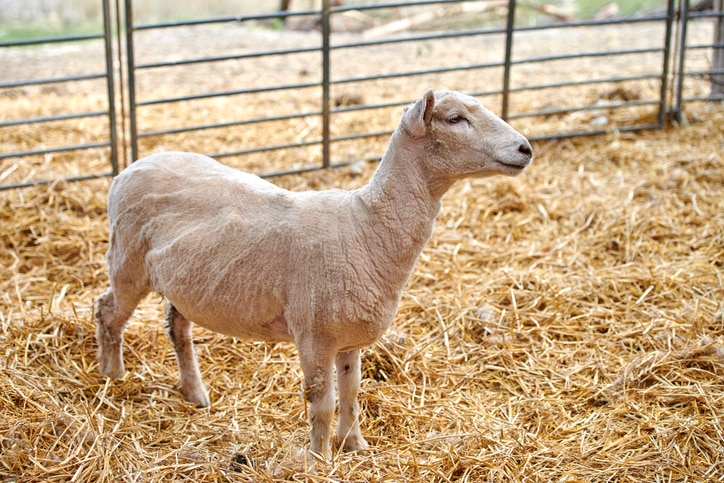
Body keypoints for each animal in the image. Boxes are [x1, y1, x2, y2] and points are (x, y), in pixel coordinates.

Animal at [94, 88, 533, 459]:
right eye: (456, 118)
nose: (525, 148)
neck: (365, 226)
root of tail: (131, 167)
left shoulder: (350, 337)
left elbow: (352, 392)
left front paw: (355, 445)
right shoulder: (314, 334)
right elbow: (321, 401)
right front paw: (319, 460)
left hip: (184, 280)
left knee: (176, 327)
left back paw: (194, 392)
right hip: (127, 260)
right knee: (107, 311)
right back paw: (112, 376)